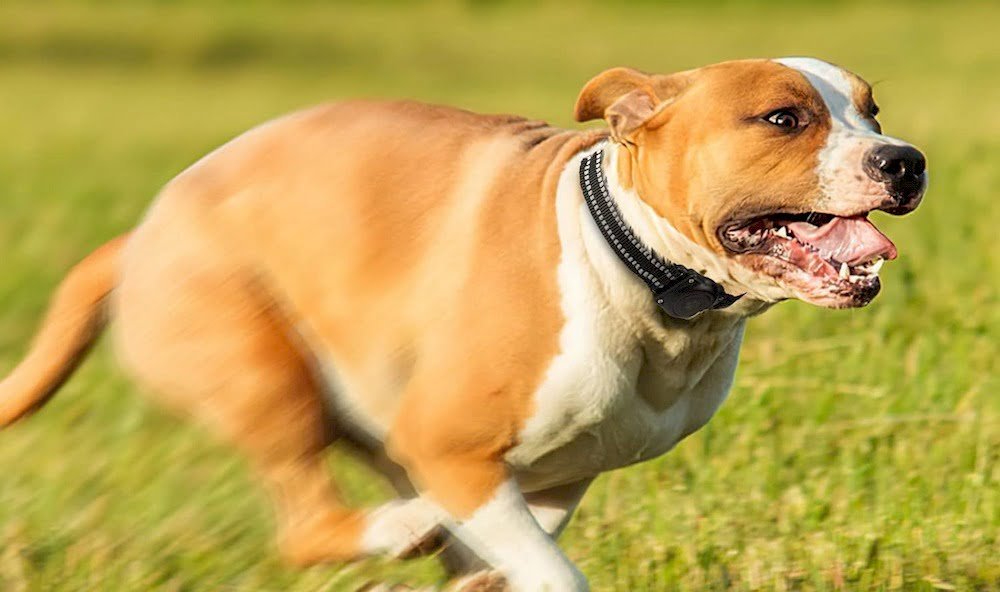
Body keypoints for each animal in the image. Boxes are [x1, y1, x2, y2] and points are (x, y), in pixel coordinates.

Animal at [0, 56, 924, 592]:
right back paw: (397, 526)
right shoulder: (452, 451)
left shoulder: (555, 479)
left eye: (873, 113)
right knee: (306, 525)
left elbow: (514, 554)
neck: (634, 265)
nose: (905, 160)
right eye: (783, 119)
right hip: (262, 372)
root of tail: (137, 239)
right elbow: (554, 576)